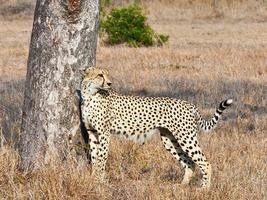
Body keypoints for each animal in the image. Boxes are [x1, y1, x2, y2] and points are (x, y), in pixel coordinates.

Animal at [80, 68, 233, 188]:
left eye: (106, 74)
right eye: (100, 75)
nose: (110, 83)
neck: (90, 95)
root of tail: (190, 104)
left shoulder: (104, 133)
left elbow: (102, 157)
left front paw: (99, 181)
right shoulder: (92, 132)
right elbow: (94, 156)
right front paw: (94, 178)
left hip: (186, 137)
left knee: (205, 162)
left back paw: (204, 189)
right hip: (170, 140)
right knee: (189, 162)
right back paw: (181, 186)